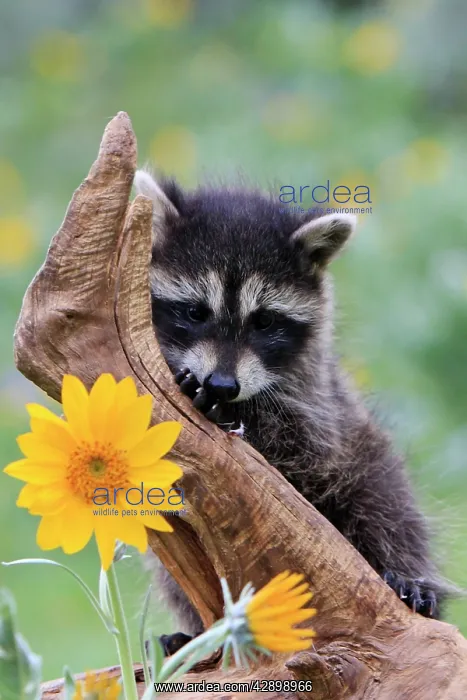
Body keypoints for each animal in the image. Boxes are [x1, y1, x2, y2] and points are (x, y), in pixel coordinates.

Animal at [134, 170, 451, 651]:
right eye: (194, 312)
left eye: (264, 321)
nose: (222, 386)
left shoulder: (321, 402)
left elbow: (306, 451)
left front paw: (232, 413)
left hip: (369, 466)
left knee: (388, 502)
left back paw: (409, 575)